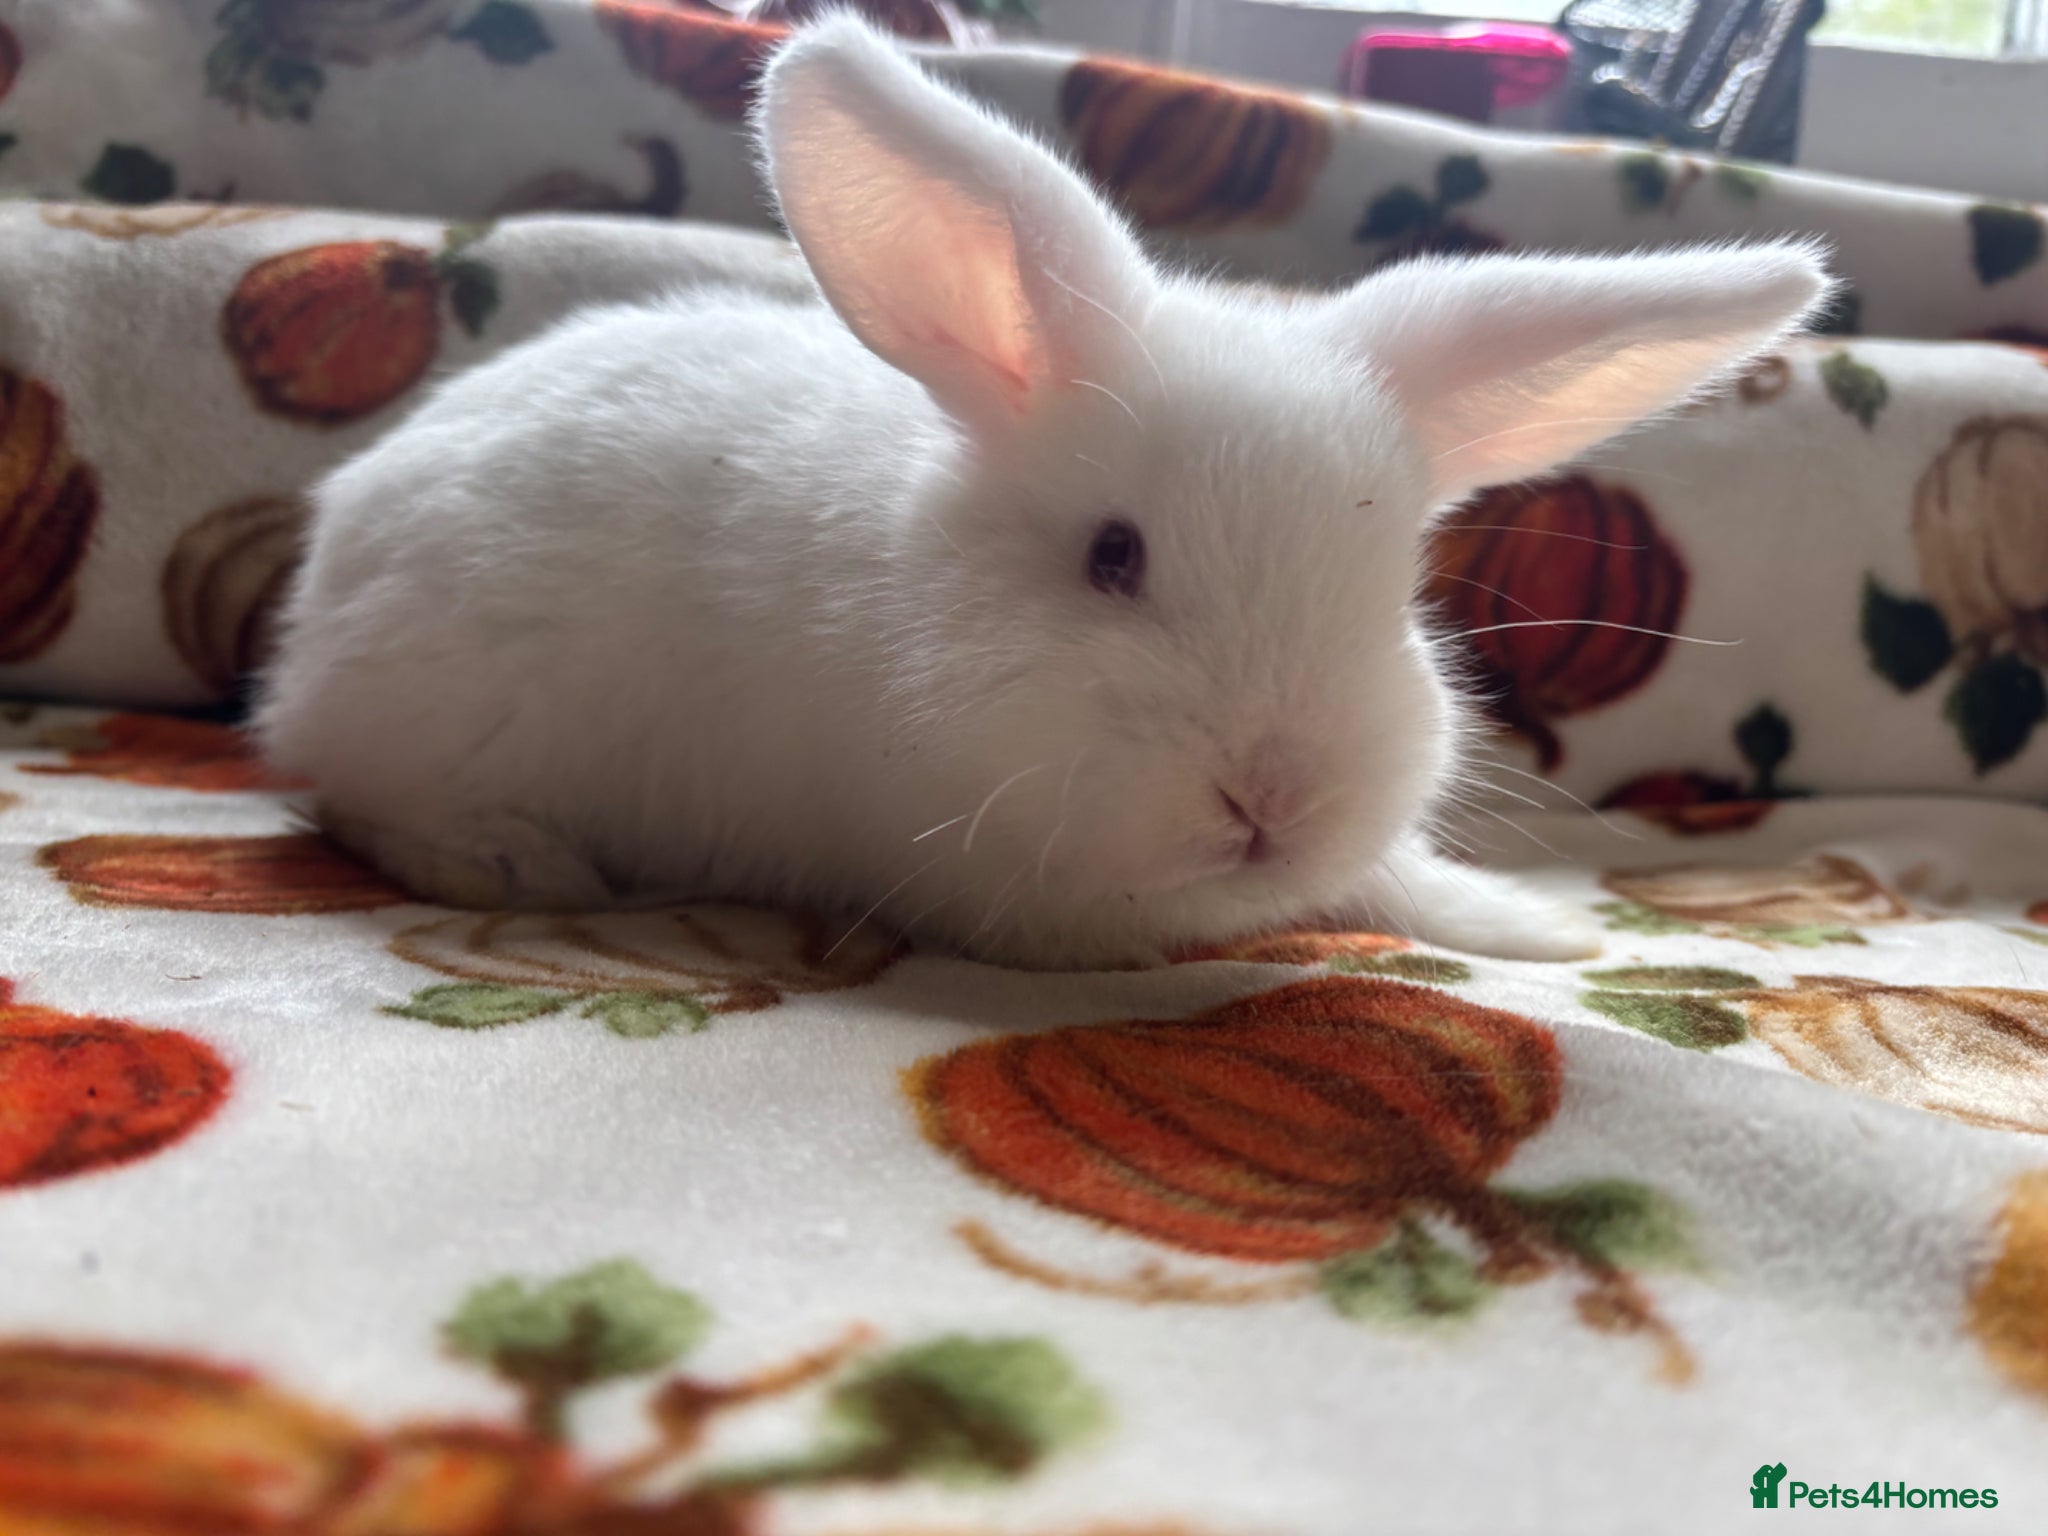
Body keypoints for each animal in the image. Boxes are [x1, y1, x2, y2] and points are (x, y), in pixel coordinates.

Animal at [254, 15, 1830, 971]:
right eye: (1113, 558)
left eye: (1395, 602)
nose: (1272, 795)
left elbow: (1391, 879)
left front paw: (1539, 934)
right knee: (350, 795)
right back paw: (520, 866)